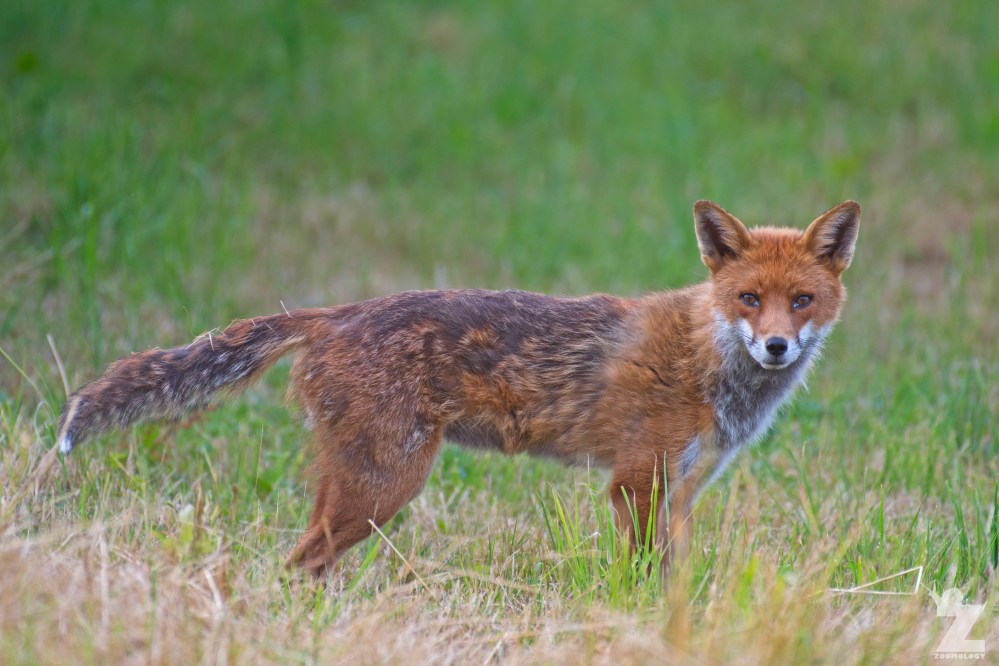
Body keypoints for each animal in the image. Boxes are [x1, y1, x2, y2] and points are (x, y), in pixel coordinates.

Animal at [56, 200, 860, 576]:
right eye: (749, 299)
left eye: (802, 301)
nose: (777, 346)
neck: (707, 362)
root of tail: (332, 313)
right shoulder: (635, 483)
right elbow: (637, 577)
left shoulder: (684, 489)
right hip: (384, 485)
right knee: (298, 562)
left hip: (355, 485)